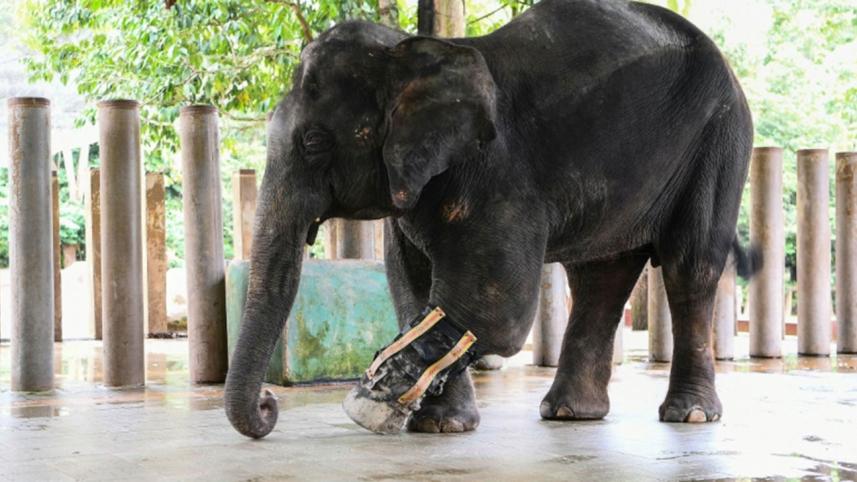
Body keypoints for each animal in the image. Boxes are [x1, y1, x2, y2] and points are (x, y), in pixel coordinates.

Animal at [225, 0, 758, 439]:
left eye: (314, 144)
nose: (269, 405)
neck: (416, 51)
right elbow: (413, 285)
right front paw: (440, 426)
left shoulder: (500, 173)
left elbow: (497, 310)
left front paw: (368, 404)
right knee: (599, 277)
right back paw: (570, 414)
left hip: (720, 136)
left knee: (690, 265)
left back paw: (690, 416)